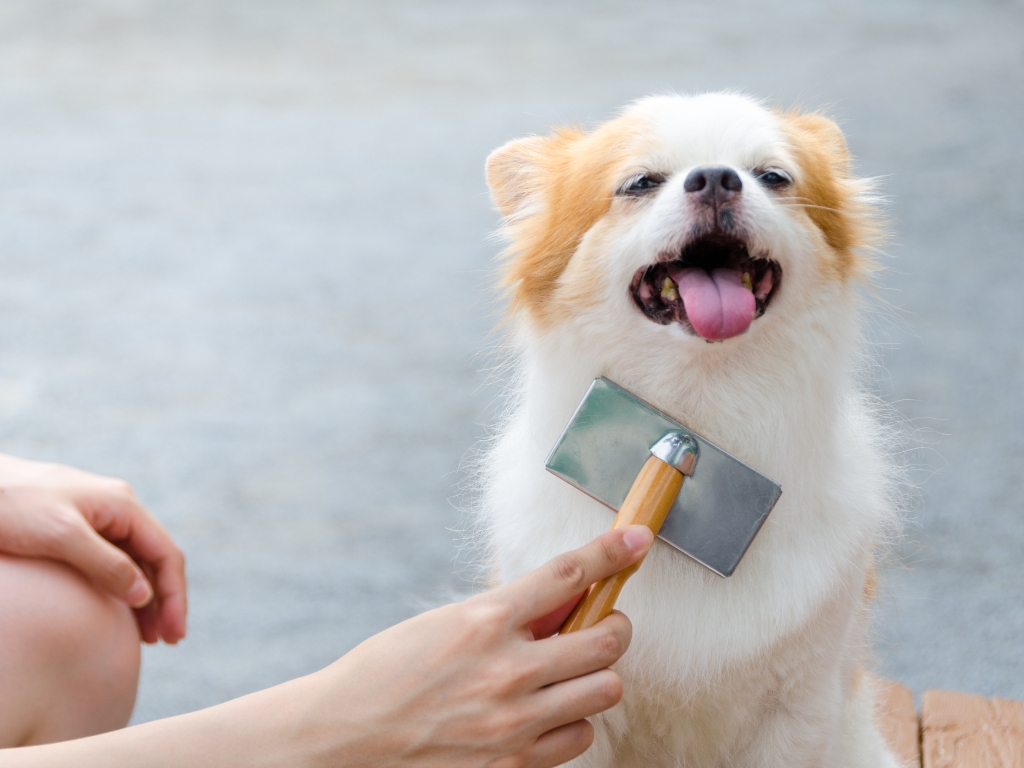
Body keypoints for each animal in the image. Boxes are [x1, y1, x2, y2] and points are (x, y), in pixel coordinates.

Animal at [479, 94, 905, 768]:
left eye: (772, 176)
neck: (696, 417)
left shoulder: (798, 709)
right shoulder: (573, 711)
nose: (714, 178)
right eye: (640, 183)